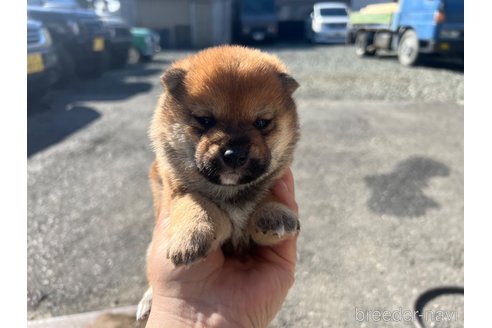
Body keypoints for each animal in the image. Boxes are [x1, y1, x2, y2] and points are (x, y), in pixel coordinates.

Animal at [137, 44, 300, 320]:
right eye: (205, 120)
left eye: (262, 123)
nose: (234, 154)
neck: (228, 190)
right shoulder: (177, 188)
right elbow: (196, 202)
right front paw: (192, 233)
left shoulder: (275, 182)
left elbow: (267, 195)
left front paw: (273, 214)